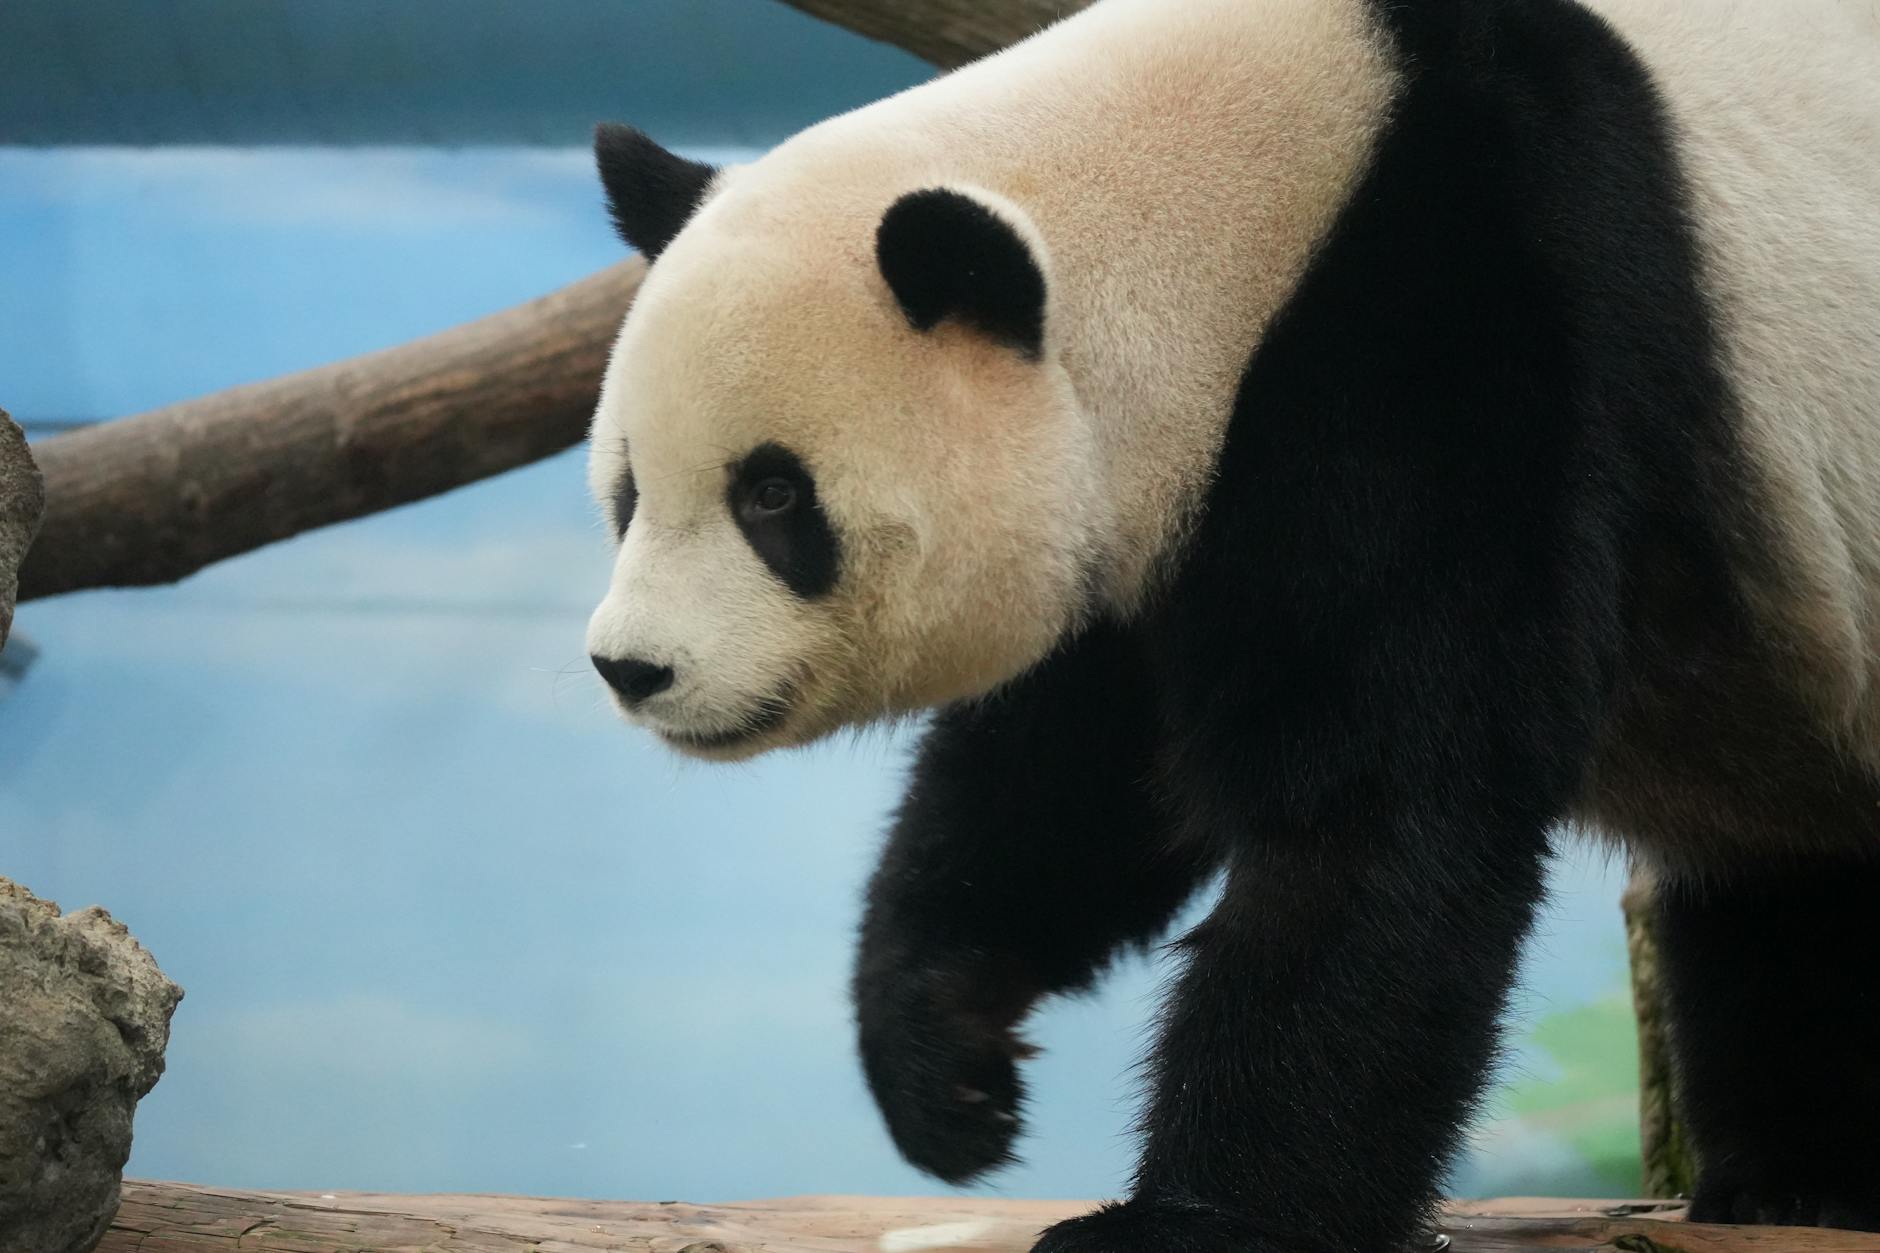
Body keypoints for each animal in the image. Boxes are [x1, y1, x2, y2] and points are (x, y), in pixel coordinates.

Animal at [583, 0, 1880, 1246]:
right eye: (628, 488)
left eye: (772, 495)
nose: (630, 668)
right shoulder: (1159, 520)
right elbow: (1075, 775)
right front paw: (946, 1062)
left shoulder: (1466, 310)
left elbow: (1380, 808)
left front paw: (1184, 1220)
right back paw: (1795, 1178)